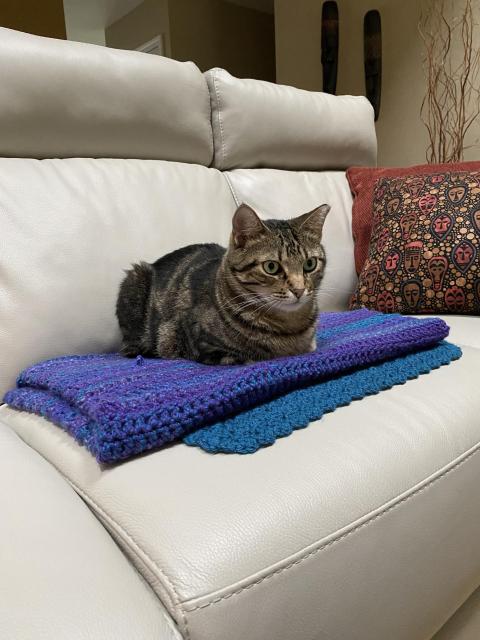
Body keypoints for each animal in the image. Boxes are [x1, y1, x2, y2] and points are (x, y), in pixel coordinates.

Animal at [117, 205, 330, 364]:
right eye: (271, 267)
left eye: (310, 264)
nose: (299, 289)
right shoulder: (208, 347)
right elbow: (249, 357)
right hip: (135, 279)